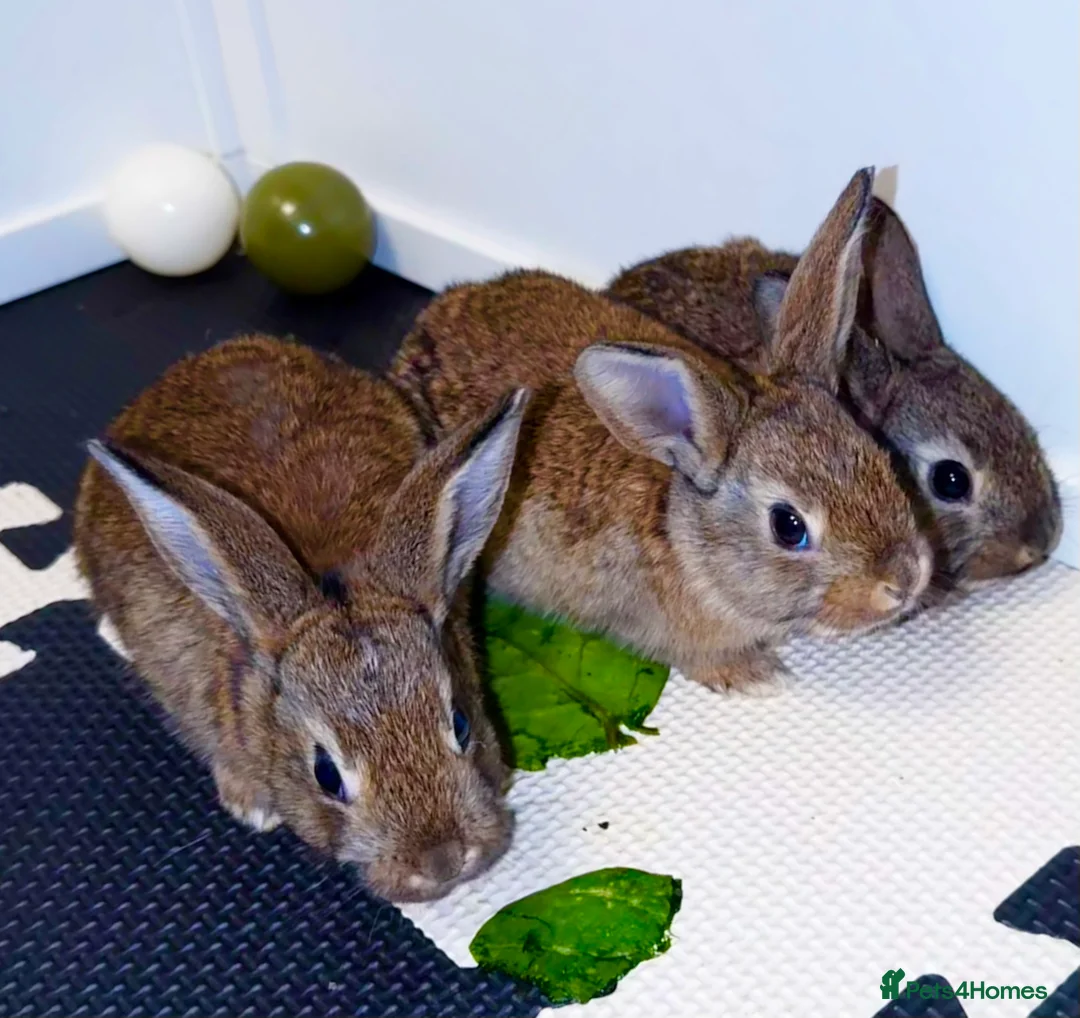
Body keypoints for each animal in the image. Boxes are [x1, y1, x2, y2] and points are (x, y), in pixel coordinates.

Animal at [390, 168, 932, 697]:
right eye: (788, 526)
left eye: (881, 457)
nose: (903, 581)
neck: (683, 536)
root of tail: (429, 320)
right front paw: (756, 676)